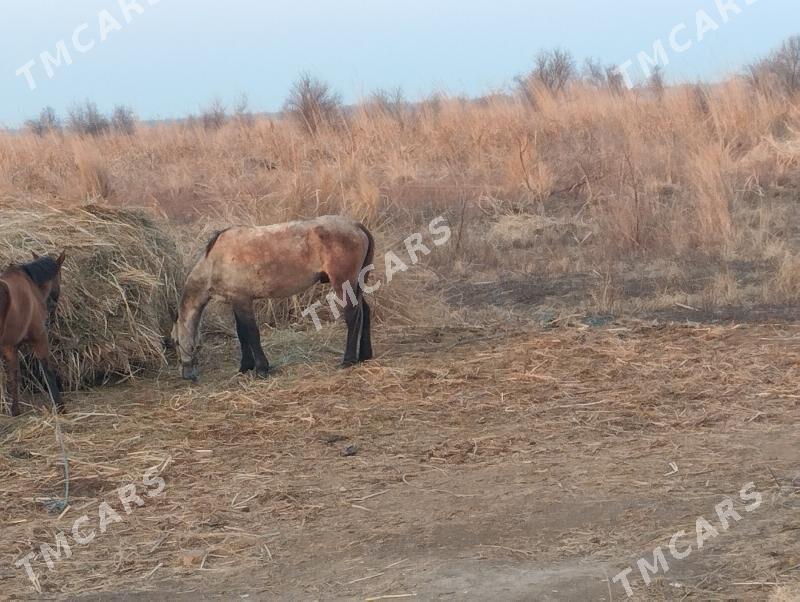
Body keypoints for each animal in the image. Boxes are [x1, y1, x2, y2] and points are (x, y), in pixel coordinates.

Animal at [0, 251, 65, 414]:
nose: (52, 312)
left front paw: (15, 410)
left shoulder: (10, 346)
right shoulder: (40, 338)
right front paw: (60, 406)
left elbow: (14, 375)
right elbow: (47, 371)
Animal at [172, 214, 376, 380]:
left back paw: (348, 360)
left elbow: (251, 333)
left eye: (175, 342)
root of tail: (356, 225)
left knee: (353, 316)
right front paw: (245, 367)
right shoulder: (236, 302)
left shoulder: (242, 300)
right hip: (357, 284)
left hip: (343, 283)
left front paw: (261, 369)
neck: (215, 261)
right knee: (365, 311)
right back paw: (364, 355)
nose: (187, 375)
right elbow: (241, 333)